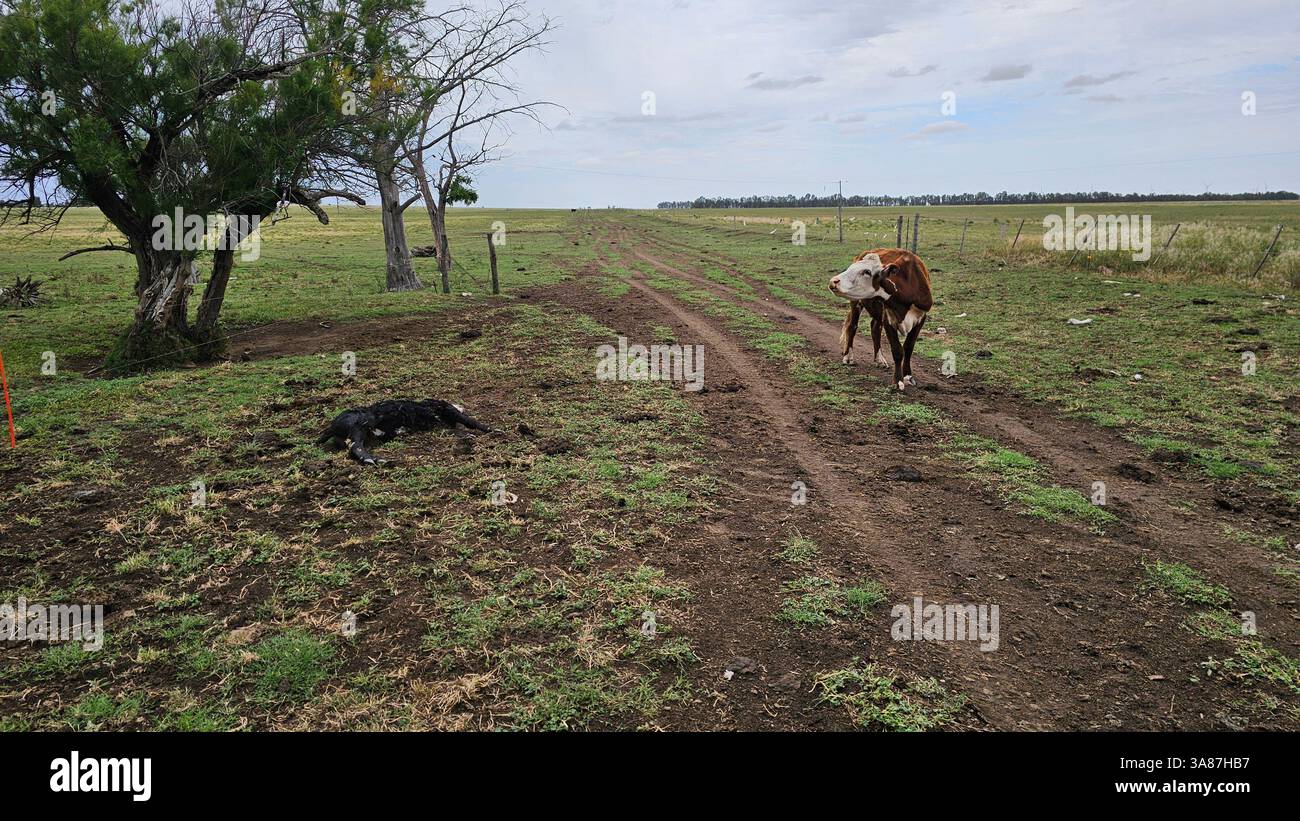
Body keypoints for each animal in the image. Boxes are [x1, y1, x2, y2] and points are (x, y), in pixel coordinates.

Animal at [828, 248, 934, 392]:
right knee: (852, 326)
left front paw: (908, 376)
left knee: (875, 328)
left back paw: (879, 359)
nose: (833, 281)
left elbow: (908, 348)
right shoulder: (888, 318)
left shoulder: (921, 318)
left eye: (867, 271)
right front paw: (898, 381)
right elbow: (897, 350)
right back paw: (848, 357)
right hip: (856, 302)